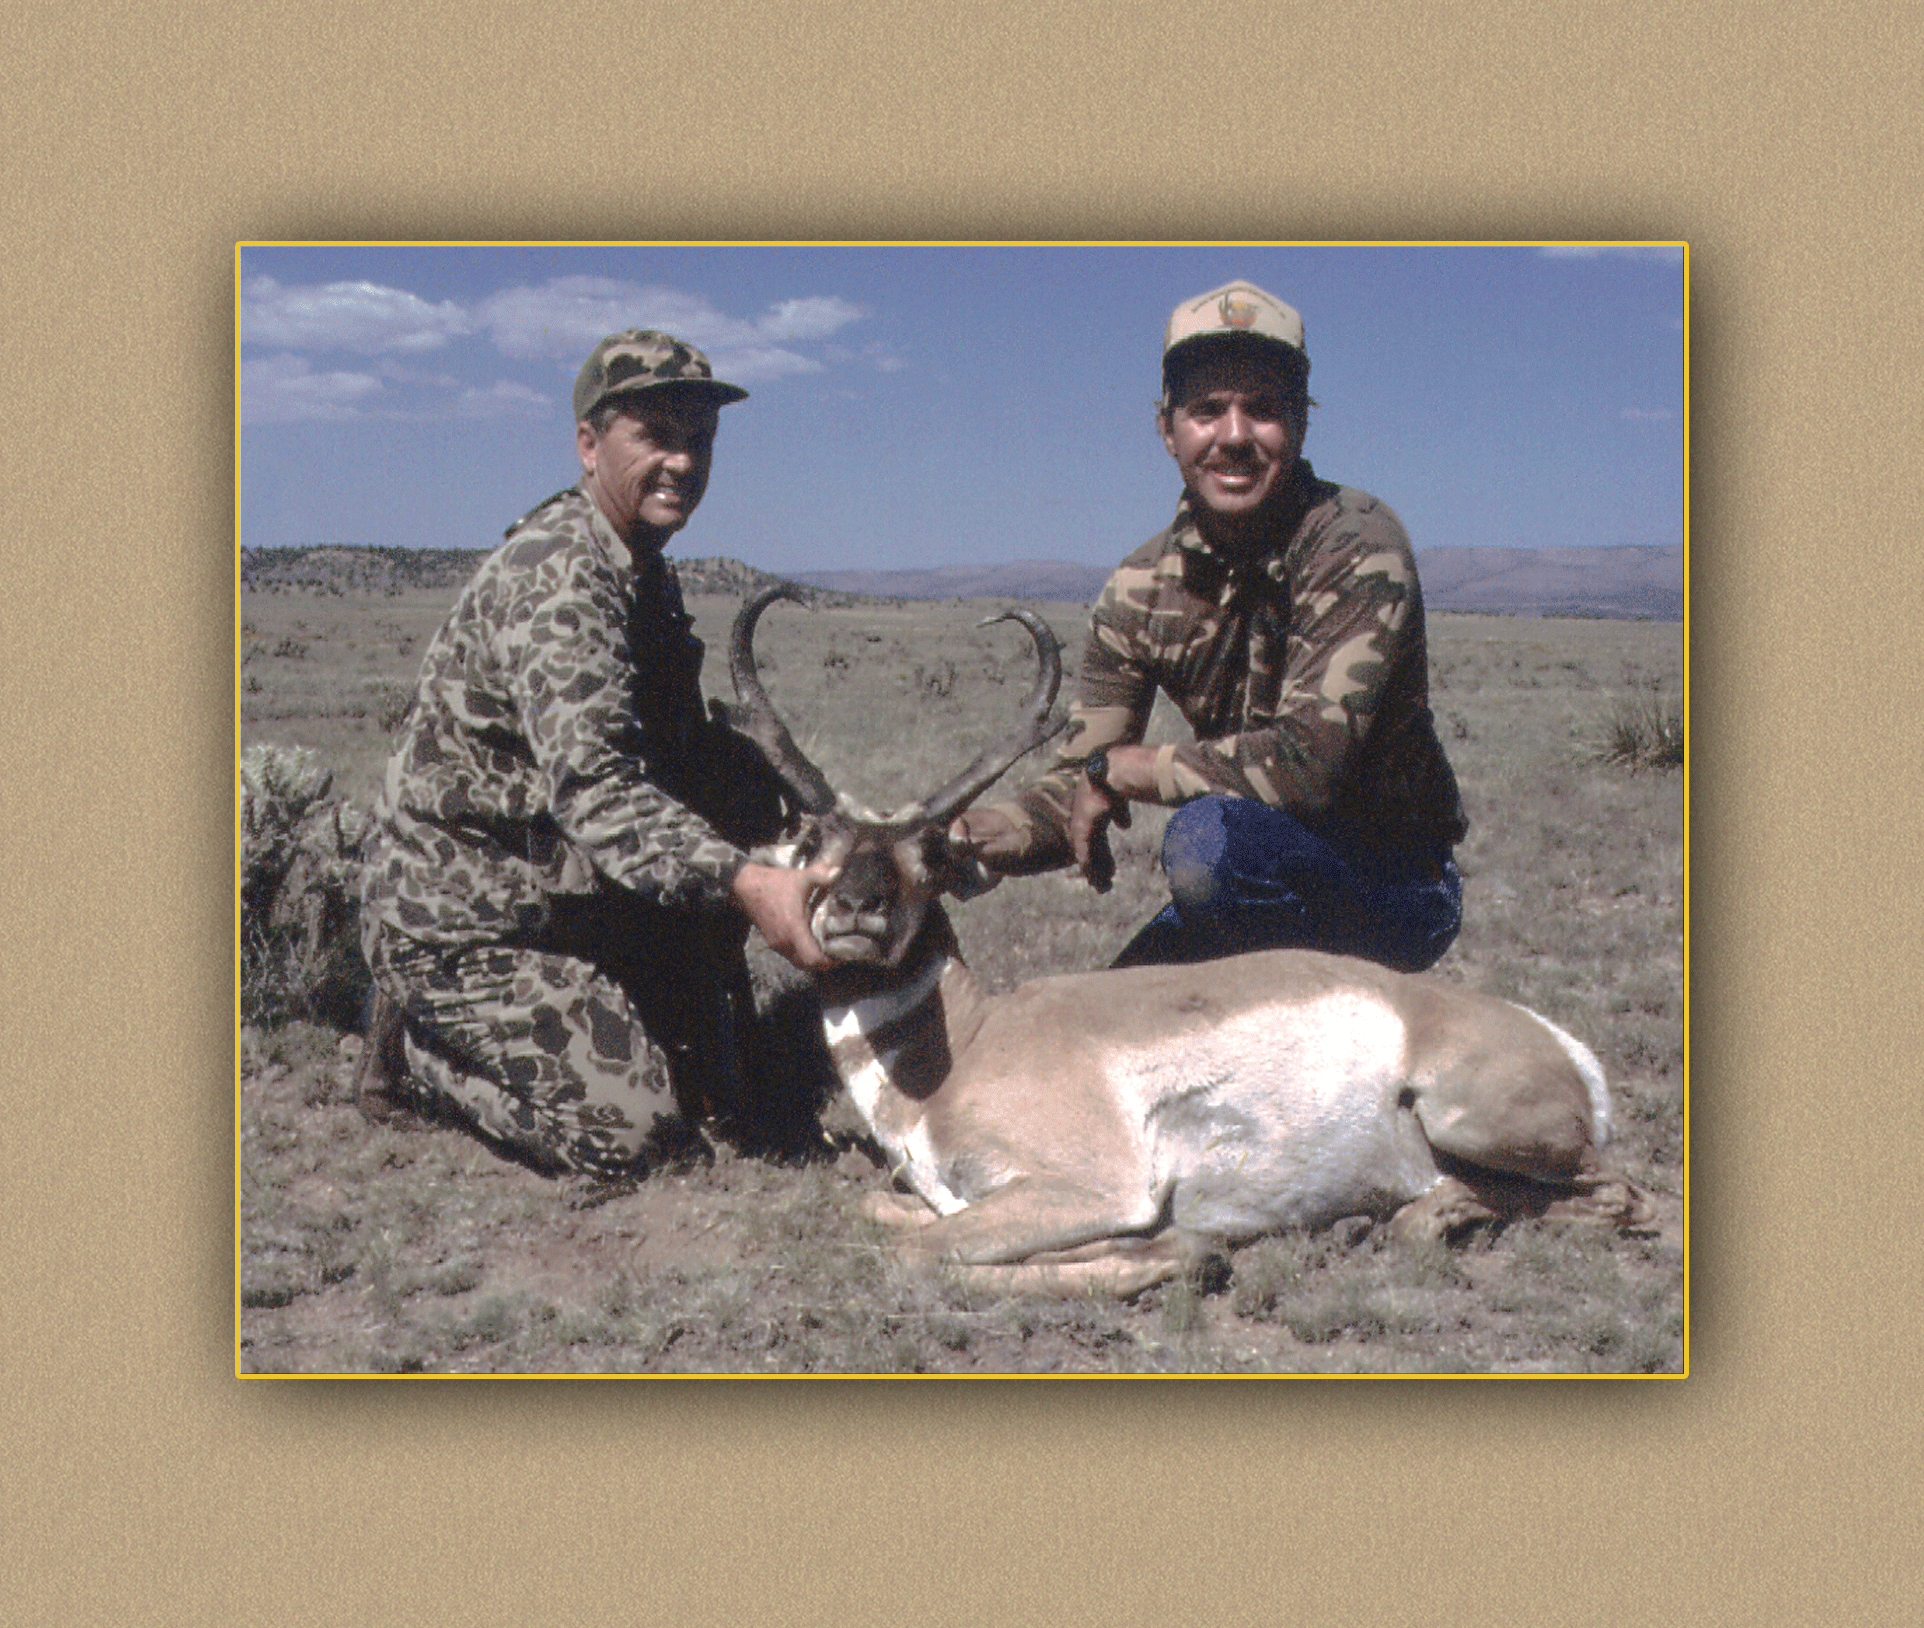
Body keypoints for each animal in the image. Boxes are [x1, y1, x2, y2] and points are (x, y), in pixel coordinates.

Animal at [726, 585, 1658, 1297]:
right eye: (812, 839)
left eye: (931, 851)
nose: (857, 906)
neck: (970, 1042)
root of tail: (1562, 1045)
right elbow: (881, 1212)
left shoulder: (1088, 1190)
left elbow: (917, 1252)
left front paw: (1182, 1250)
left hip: (1465, 1117)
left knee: (1621, 1197)